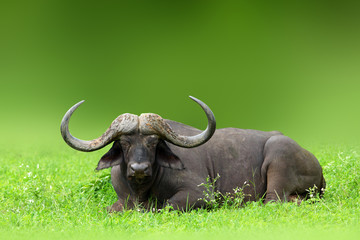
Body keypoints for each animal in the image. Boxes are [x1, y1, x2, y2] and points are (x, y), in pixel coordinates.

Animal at [60, 96, 324, 211]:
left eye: (153, 142)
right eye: (124, 143)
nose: (139, 169)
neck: (142, 191)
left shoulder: (201, 195)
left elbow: (165, 206)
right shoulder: (120, 199)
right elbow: (111, 208)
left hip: (278, 155)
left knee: (272, 201)